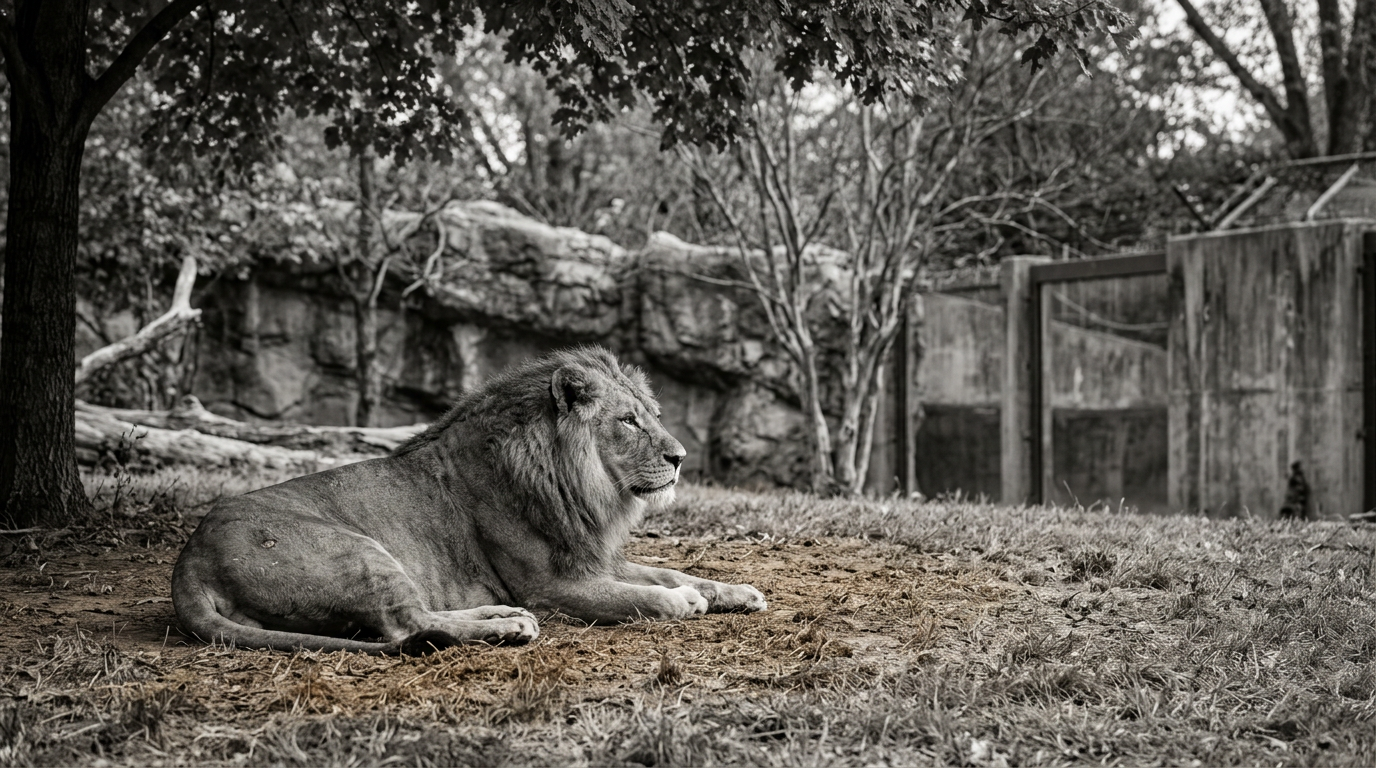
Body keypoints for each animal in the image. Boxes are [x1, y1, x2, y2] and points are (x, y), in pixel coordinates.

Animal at [171, 346, 767, 653]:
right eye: (627, 421)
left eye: (655, 416)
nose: (681, 457)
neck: (581, 485)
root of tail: (189, 561)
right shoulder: (553, 585)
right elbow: (641, 597)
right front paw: (681, 603)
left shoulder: (593, 557)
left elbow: (674, 572)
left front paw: (737, 591)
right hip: (358, 552)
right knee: (407, 624)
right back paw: (509, 627)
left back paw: (500, 613)